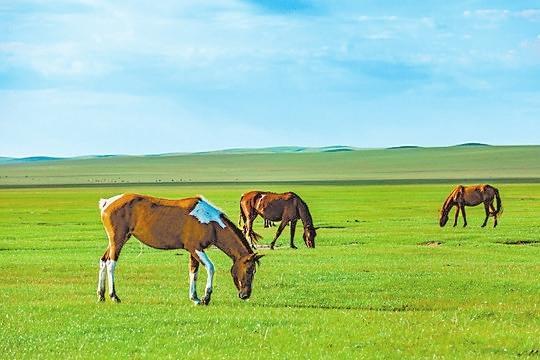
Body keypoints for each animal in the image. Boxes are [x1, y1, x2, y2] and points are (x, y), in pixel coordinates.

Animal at [99, 194, 266, 306]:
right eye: (249, 270)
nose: (245, 295)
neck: (210, 221)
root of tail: (107, 202)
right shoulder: (196, 249)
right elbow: (210, 268)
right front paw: (206, 297)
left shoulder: (194, 252)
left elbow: (194, 272)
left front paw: (195, 298)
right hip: (118, 240)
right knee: (111, 264)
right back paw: (114, 296)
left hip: (115, 241)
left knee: (103, 261)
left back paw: (101, 295)